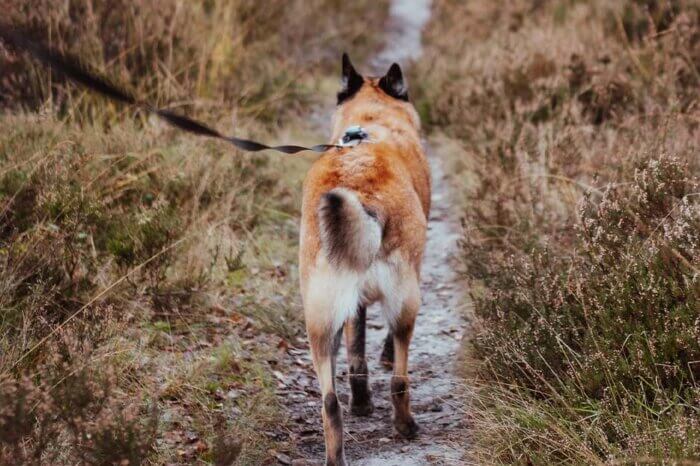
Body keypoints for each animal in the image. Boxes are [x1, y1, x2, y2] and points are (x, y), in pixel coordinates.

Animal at [298, 55, 430, 466]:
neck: (372, 120)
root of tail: (359, 193)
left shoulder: (350, 307)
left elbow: (356, 353)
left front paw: (361, 402)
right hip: (406, 299)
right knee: (400, 377)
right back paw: (405, 425)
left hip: (319, 320)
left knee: (329, 401)